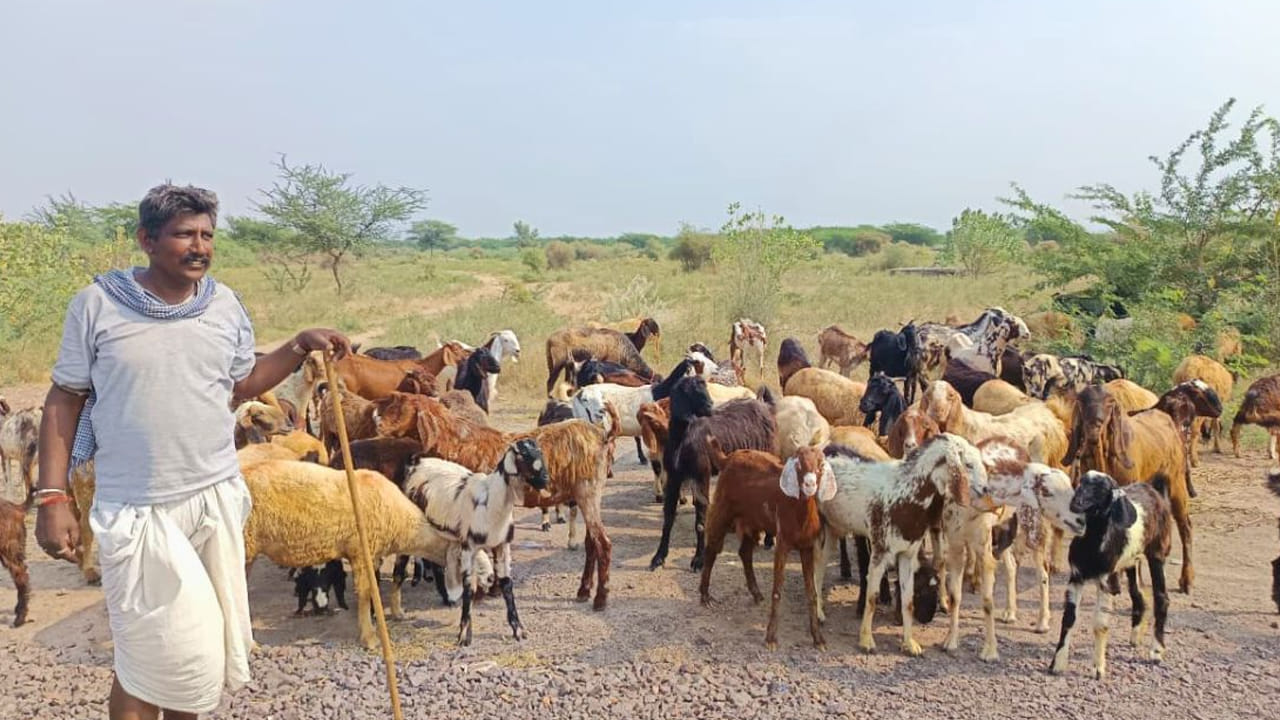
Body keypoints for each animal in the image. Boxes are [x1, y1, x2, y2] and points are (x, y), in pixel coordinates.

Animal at [1050, 471, 1172, 679]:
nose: (1076, 502)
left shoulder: (1105, 581)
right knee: (1139, 595)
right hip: (1131, 561)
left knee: (1161, 598)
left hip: (1157, 552)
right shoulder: (1076, 577)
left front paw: (1098, 669)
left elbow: (1100, 624)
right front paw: (1057, 663)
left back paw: (1156, 651)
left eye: (1102, 489)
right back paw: (1135, 637)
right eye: (1081, 482)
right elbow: (1068, 618)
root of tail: (1154, 491)